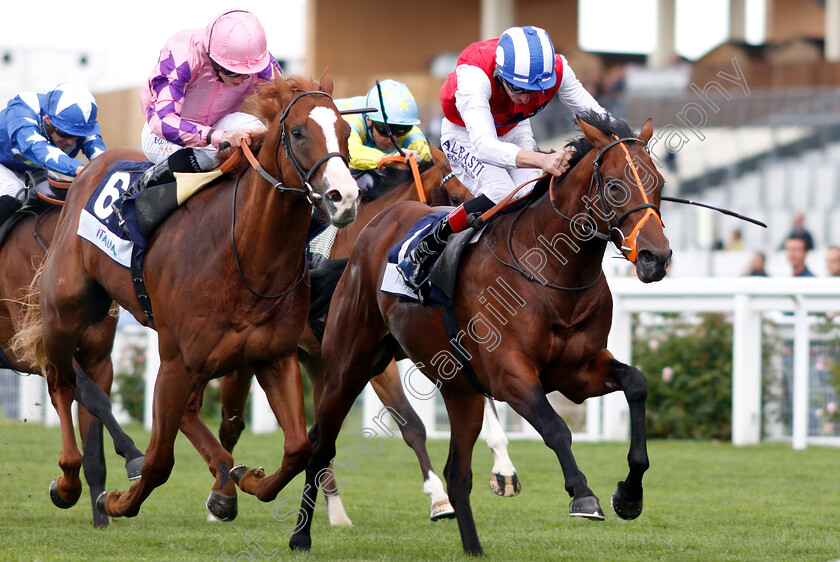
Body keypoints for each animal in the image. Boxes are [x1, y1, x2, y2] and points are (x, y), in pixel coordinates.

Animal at [1, 205, 144, 524]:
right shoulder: (38, 350)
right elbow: (93, 397)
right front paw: (132, 454)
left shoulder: (99, 361)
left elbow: (96, 423)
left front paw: (101, 517)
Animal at [292, 111, 672, 552]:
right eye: (613, 185)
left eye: (660, 183)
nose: (656, 257)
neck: (549, 272)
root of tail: (372, 231)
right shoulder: (509, 374)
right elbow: (556, 428)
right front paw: (582, 494)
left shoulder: (578, 372)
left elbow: (637, 383)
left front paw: (629, 494)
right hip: (348, 366)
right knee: (320, 444)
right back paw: (301, 533)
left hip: (458, 390)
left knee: (457, 472)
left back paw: (471, 545)